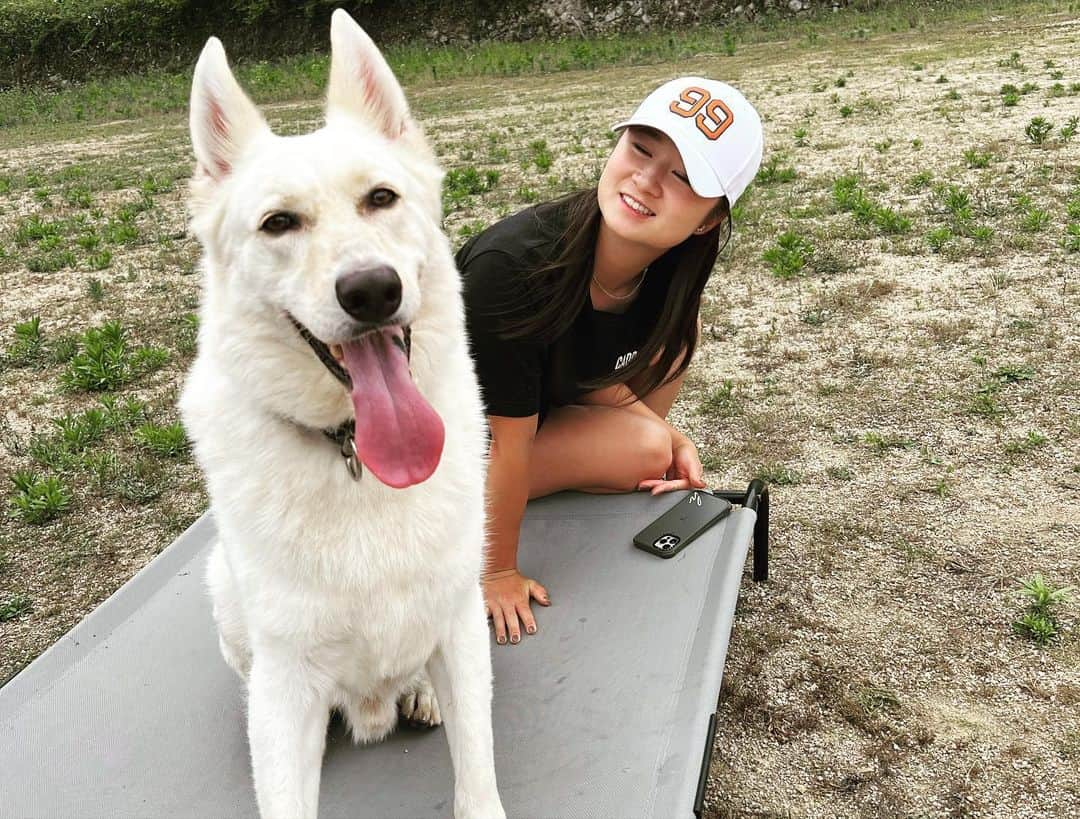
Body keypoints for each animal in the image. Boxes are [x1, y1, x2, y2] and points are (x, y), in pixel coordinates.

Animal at [180, 11, 505, 819]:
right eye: (278, 223)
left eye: (381, 199)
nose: (371, 291)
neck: (357, 455)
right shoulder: (286, 679)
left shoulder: (460, 626)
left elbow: (477, 774)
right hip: (225, 594)